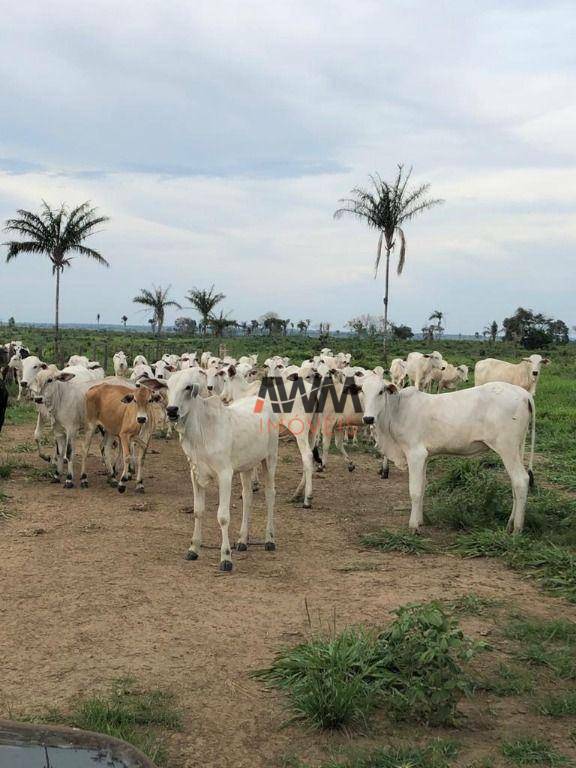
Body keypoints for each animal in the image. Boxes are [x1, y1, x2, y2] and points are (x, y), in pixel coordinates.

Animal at [165, 368, 280, 572]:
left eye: (188, 387)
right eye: (168, 386)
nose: (171, 410)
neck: (201, 432)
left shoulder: (225, 474)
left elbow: (223, 517)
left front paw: (226, 557)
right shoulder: (195, 473)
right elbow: (198, 511)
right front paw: (193, 548)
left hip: (270, 458)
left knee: (270, 495)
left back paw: (269, 539)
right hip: (247, 466)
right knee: (247, 496)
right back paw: (242, 540)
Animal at [362, 374, 532, 532]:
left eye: (381, 391)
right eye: (362, 390)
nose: (368, 418)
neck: (397, 409)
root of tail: (524, 394)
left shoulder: (415, 454)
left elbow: (415, 491)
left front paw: (413, 526)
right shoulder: (425, 457)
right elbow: (422, 488)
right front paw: (420, 521)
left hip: (507, 448)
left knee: (521, 480)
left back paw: (517, 529)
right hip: (516, 448)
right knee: (514, 483)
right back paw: (510, 523)